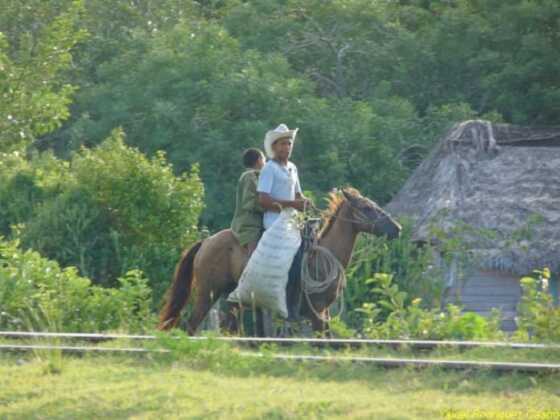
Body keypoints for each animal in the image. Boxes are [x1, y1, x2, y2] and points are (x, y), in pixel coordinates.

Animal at [160, 187, 400, 334]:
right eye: (367, 208)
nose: (396, 228)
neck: (323, 255)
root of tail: (206, 242)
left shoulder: (324, 312)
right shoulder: (317, 312)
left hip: (232, 300)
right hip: (207, 293)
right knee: (191, 325)